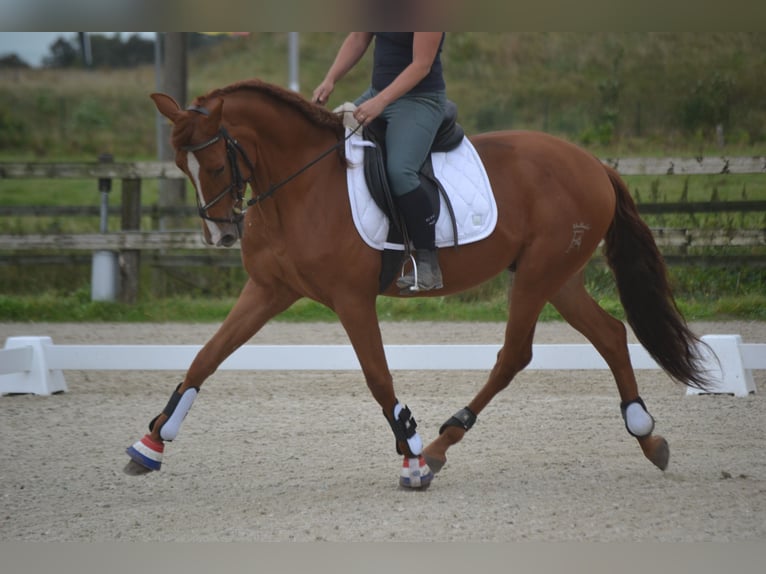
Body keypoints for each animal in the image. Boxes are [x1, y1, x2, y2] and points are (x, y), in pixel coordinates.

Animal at [124, 79, 708, 488]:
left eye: (216, 163)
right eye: (181, 164)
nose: (221, 233)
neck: (299, 186)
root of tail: (592, 163)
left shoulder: (352, 299)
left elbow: (379, 379)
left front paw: (410, 459)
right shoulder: (269, 290)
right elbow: (207, 355)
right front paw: (152, 443)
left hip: (539, 273)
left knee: (515, 353)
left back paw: (440, 446)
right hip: (557, 276)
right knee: (609, 333)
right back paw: (647, 436)